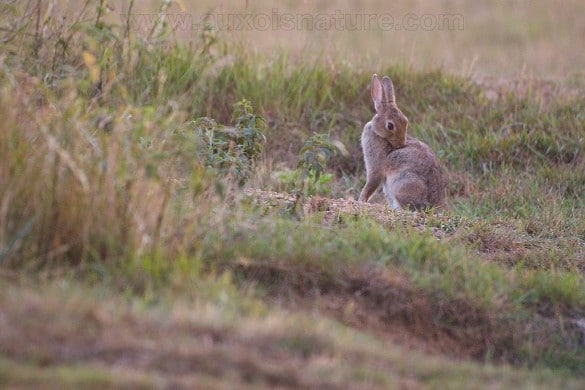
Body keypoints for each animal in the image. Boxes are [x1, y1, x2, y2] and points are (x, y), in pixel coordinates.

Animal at [358, 74, 444, 210]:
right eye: (390, 126)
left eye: (405, 122)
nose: (401, 145)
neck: (378, 133)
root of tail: (431, 206)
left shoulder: (375, 168)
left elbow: (371, 184)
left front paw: (361, 200)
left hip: (401, 183)